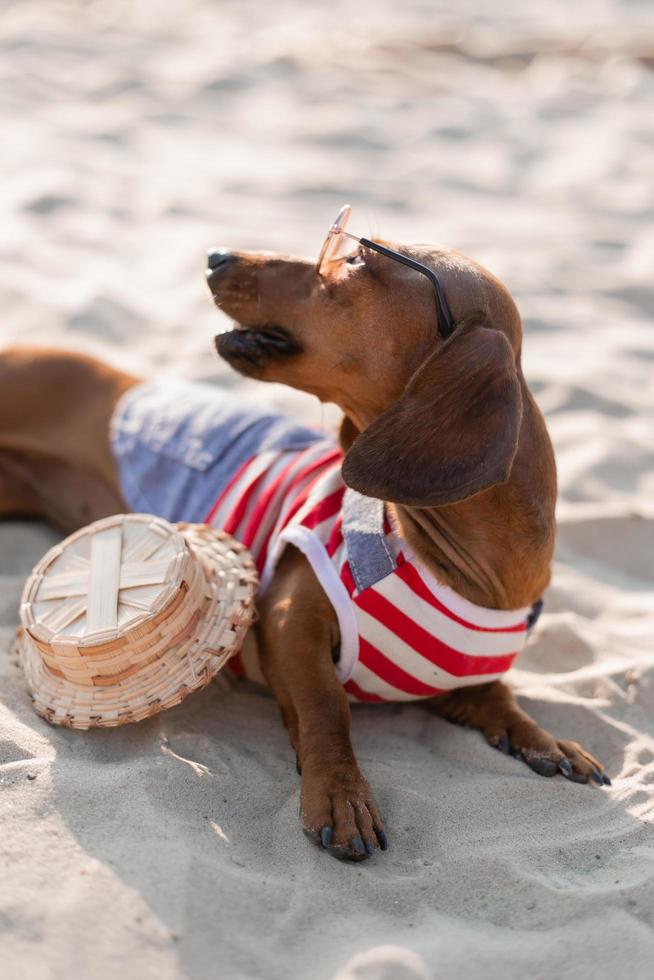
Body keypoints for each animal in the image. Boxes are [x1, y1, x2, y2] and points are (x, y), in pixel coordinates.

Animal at [1, 220, 608, 856]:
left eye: (356, 261)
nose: (217, 255)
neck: (456, 566)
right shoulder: (289, 618)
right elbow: (326, 706)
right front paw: (340, 792)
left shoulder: (461, 674)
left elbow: (497, 695)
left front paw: (541, 736)